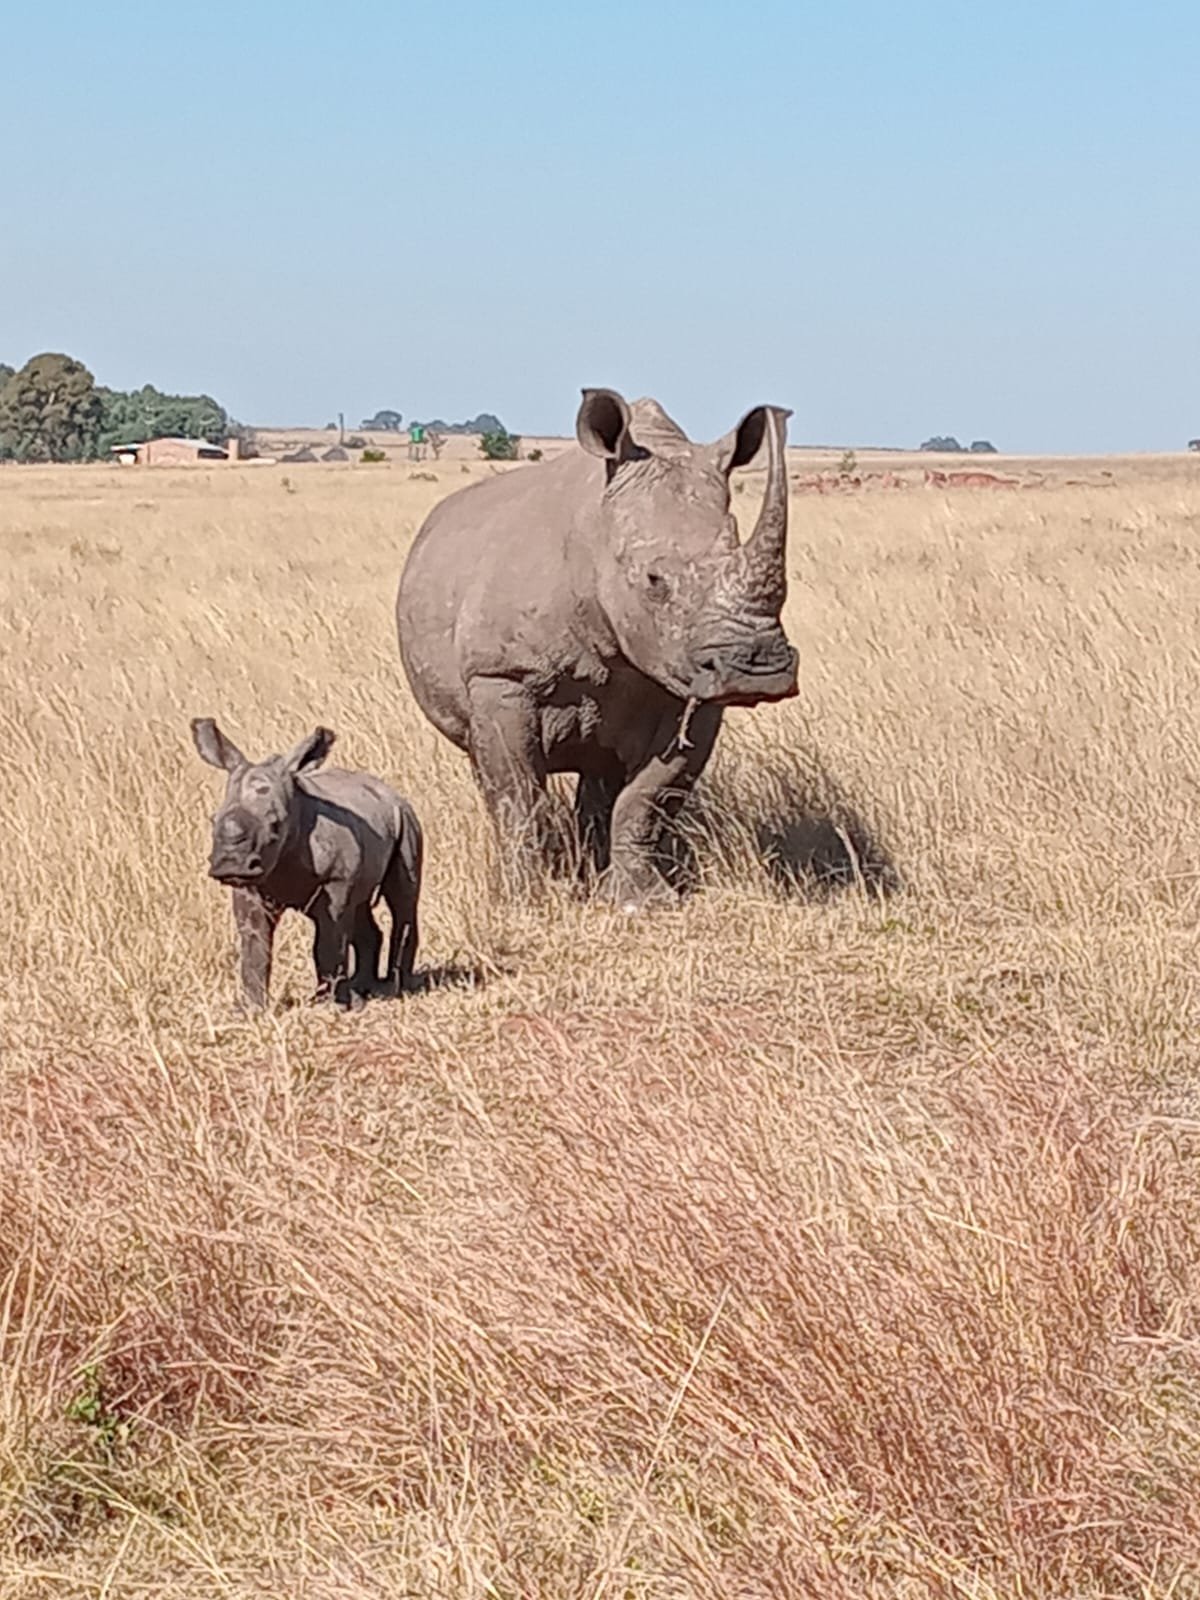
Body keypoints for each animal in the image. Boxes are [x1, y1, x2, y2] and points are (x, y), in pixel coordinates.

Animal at [191, 718, 422, 1009]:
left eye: (275, 825)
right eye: (213, 819)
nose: (231, 865)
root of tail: (392, 793)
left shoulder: (335, 881)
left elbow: (328, 941)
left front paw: (331, 1005)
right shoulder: (250, 884)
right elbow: (255, 943)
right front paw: (252, 1009)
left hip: (407, 820)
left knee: (402, 899)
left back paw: (395, 987)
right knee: (360, 907)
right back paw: (363, 988)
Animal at [395, 389, 798, 904]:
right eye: (654, 581)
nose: (759, 670)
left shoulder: (695, 686)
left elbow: (649, 796)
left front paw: (640, 900)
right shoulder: (501, 675)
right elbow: (518, 791)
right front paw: (524, 899)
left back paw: (592, 871)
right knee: (486, 767)